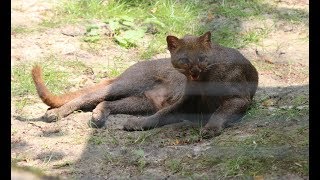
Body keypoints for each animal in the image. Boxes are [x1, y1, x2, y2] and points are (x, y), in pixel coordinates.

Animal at [31, 31, 258, 135]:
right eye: (184, 59)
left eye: (202, 57)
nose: (194, 70)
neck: (203, 80)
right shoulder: (186, 102)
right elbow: (162, 115)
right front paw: (138, 124)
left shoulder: (237, 99)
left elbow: (219, 112)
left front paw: (210, 129)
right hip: (127, 85)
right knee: (88, 97)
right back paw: (55, 114)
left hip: (141, 101)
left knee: (106, 103)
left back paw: (97, 117)